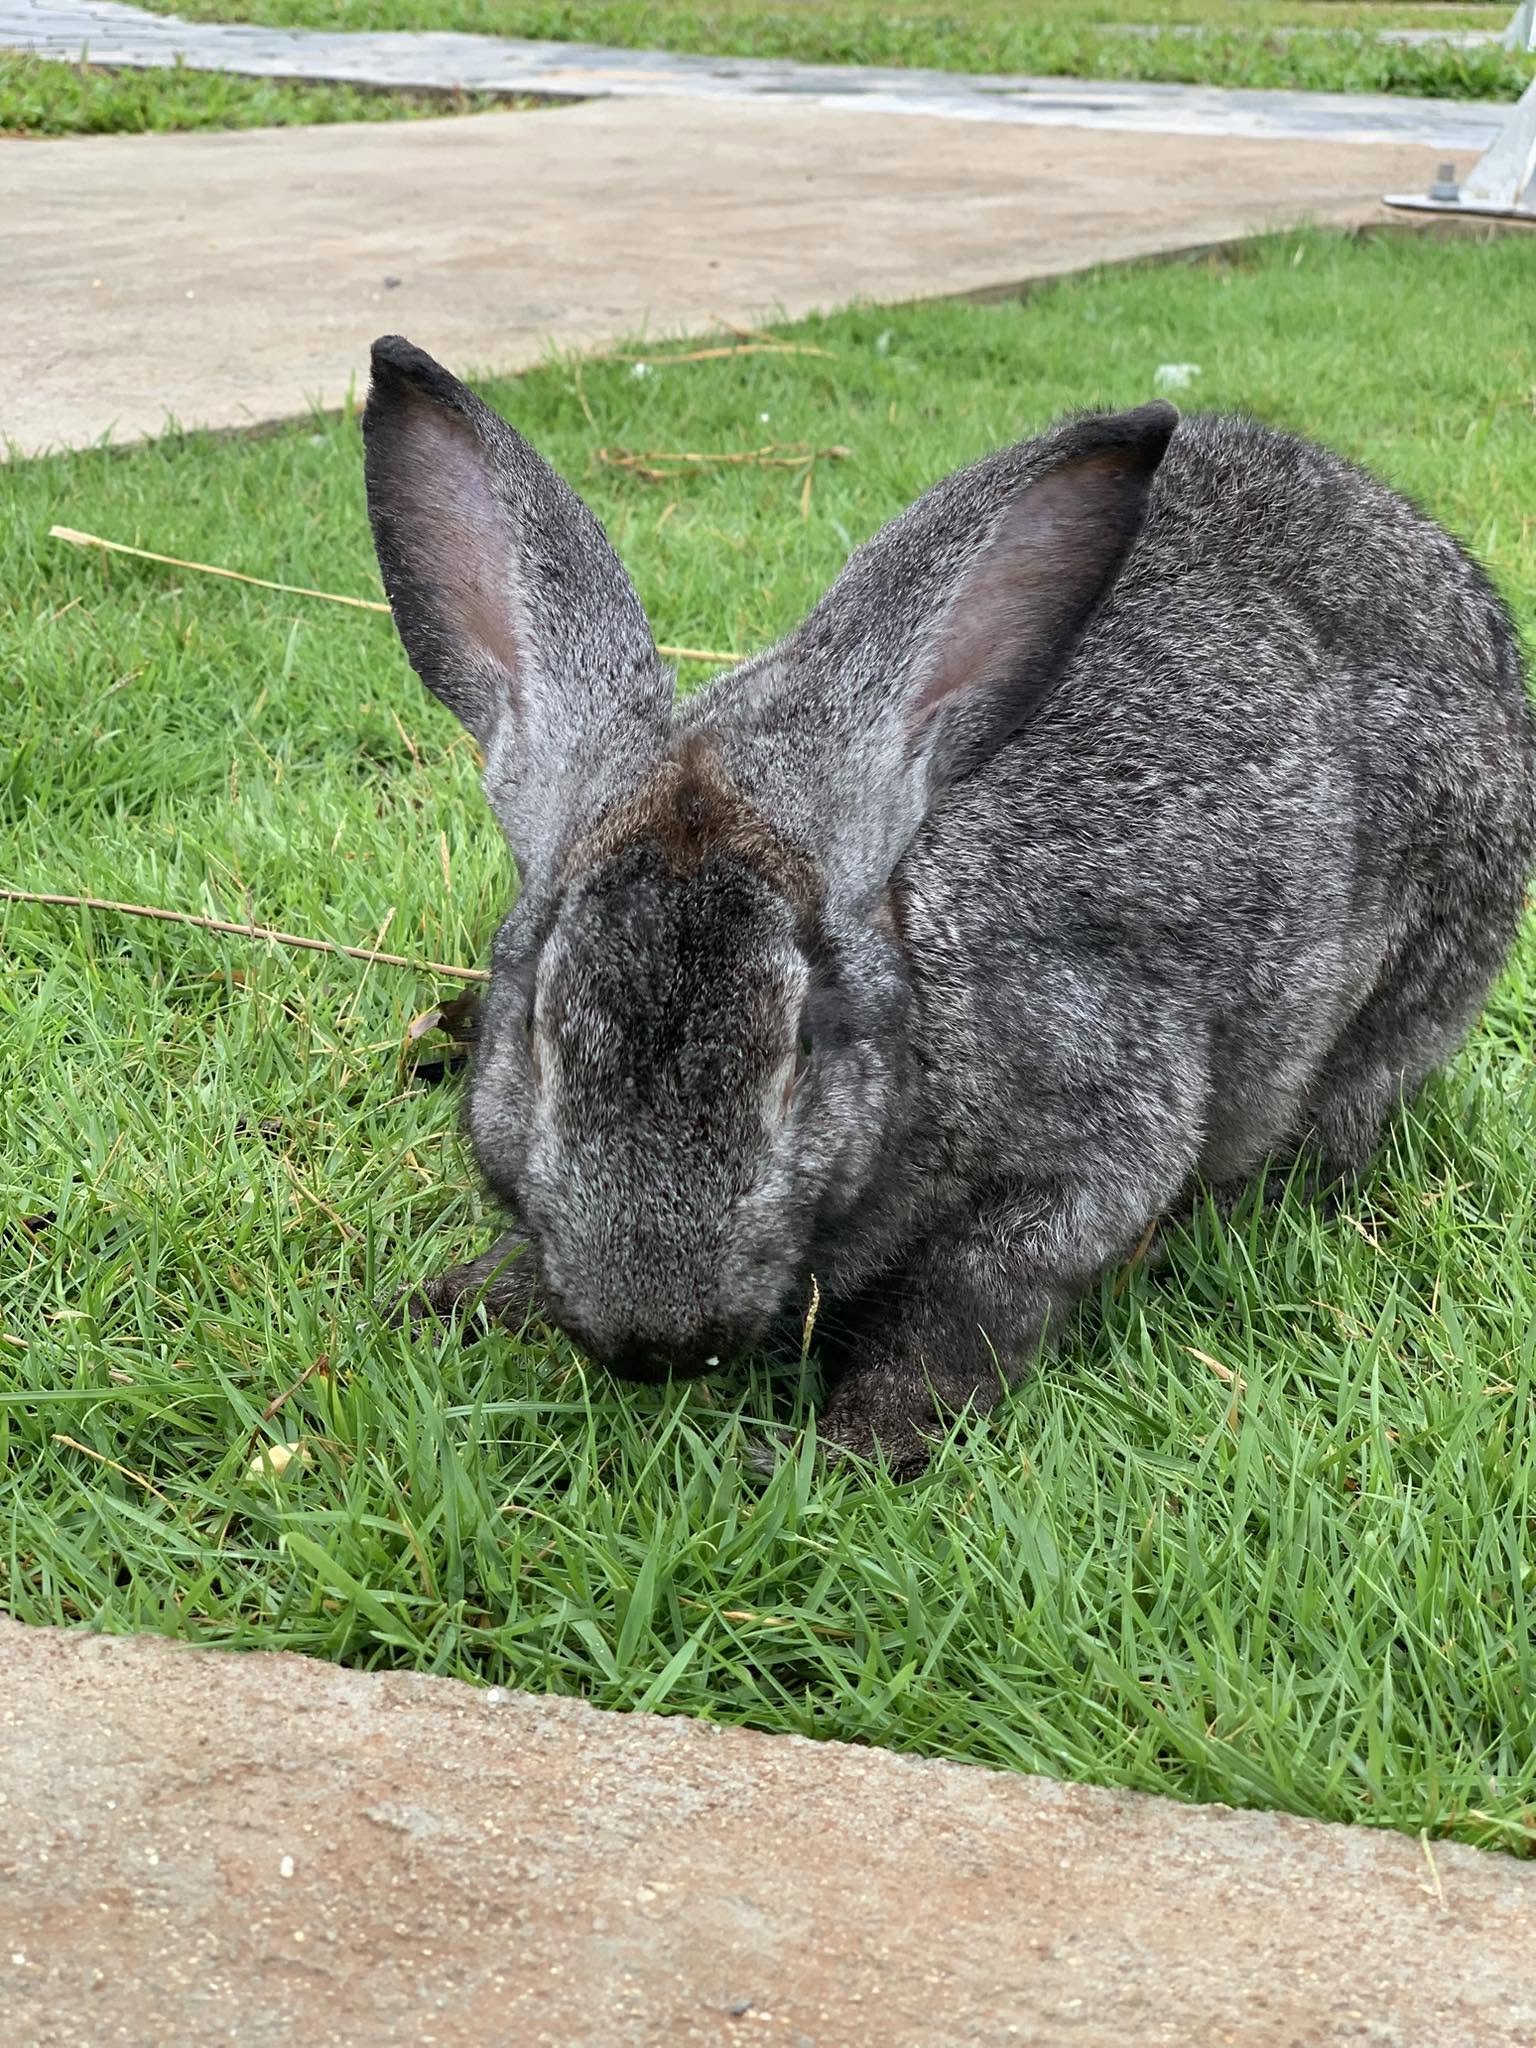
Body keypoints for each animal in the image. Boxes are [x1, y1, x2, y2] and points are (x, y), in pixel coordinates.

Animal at [363, 333, 1536, 1477]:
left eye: (804, 1044)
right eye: (534, 1029)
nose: (654, 1341)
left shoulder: (1092, 1136)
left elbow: (973, 1299)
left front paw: (850, 1445)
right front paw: (452, 1301)